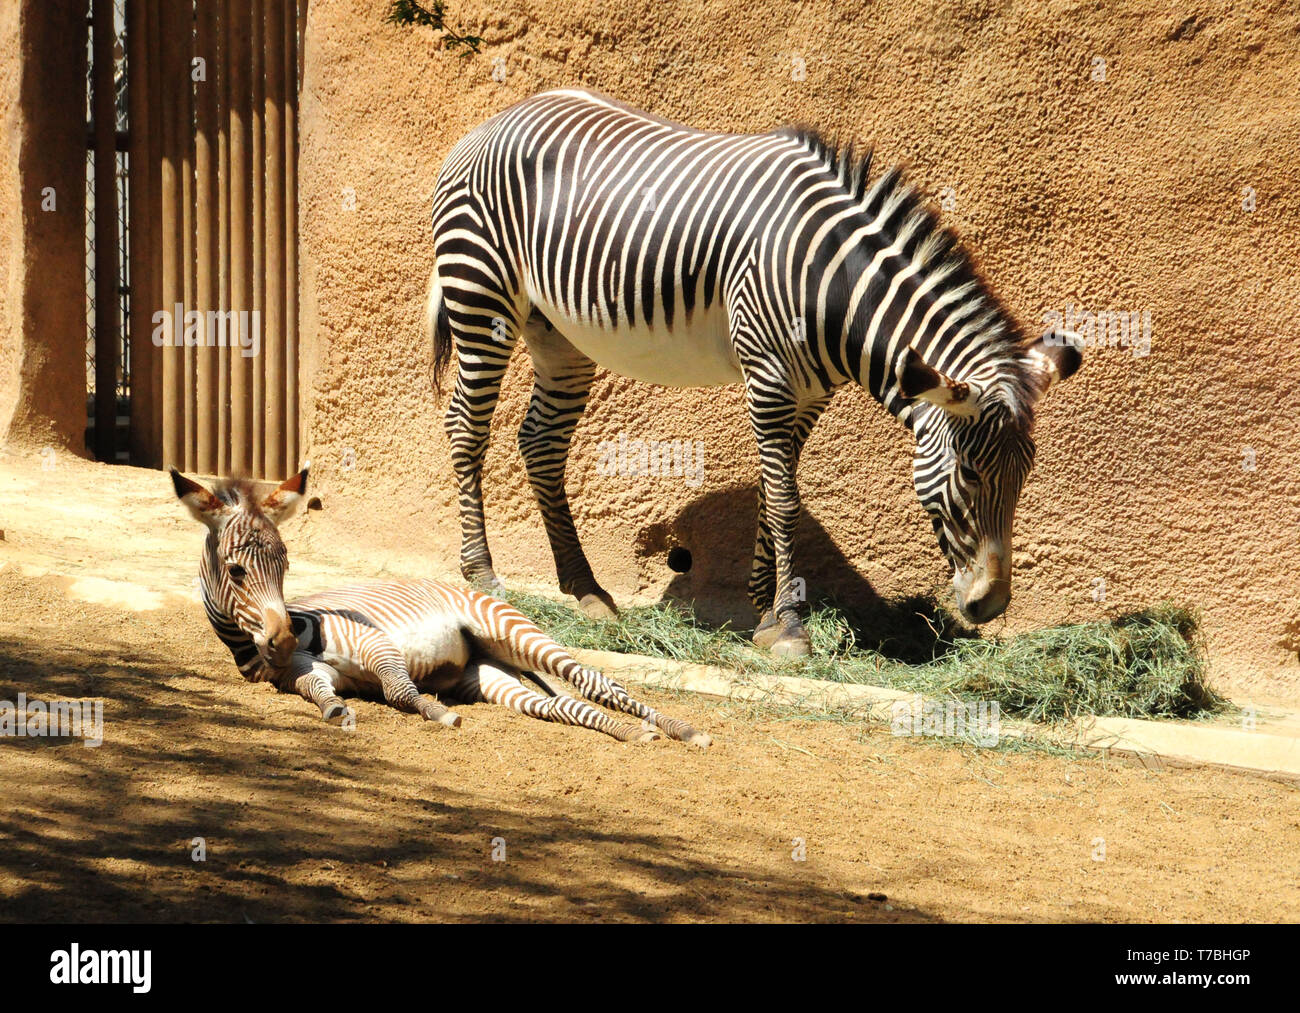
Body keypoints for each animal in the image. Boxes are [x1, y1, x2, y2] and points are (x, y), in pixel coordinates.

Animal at [172, 465, 712, 743]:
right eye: (236, 571)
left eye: (285, 564)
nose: (282, 641)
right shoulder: (306, 673)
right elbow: (320, 693)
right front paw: (337, 711)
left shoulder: (376, 644)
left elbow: (398, 691)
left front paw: (437, 713)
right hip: (491, 675)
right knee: (562, 706)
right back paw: (634, 734)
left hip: (514, 633)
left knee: (599, 683)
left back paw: (683, 730)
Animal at [426, 89, 1076, 657]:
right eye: (969, 473)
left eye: (1024, 475)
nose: (991, 607)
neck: (833, 286)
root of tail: (493, 121)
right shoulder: (768, 374)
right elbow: (785, 499)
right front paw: (789, 626)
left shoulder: (810, 395)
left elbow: (773, 488)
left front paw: (763, 611)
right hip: (481, 296)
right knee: (466, 428)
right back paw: (484, 576)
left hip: (559, 335)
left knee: (540, 441)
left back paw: (586, 591)